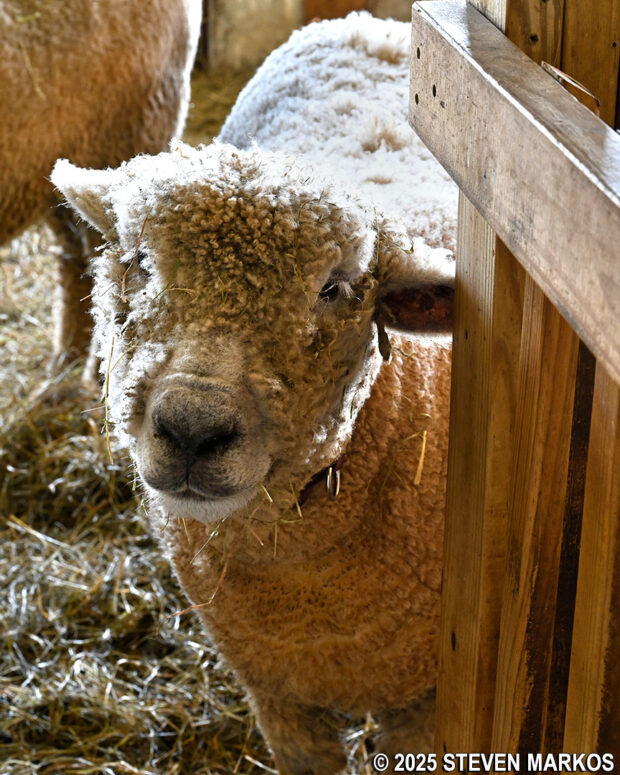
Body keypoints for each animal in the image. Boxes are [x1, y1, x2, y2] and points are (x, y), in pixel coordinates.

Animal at [51, 13, 458, 774]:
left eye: (335, 289)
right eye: (141, 262)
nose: (191, 428)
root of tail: (367, 21)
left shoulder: (425, 708)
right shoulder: (279, 697)